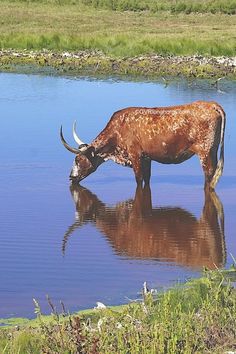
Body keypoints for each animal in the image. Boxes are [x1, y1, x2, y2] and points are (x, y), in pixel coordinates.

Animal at [60, 101, 226, 189]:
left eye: (78, 160)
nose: (70, 177)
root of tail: (211, 104)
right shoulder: (147, 159)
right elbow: (147, 179)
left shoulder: (136, 156)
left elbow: (139, 179)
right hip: (213, 151)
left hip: (205, 152)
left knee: (209, 175)